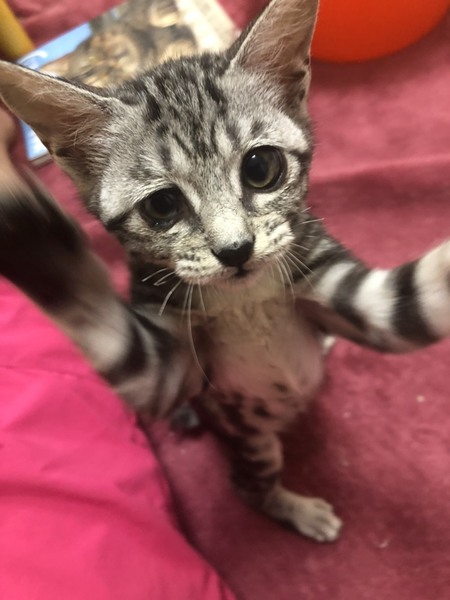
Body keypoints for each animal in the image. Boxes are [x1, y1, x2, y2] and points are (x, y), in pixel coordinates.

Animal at [1, 0, 449, 543]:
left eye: (260, 169)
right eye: (163, 206)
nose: (235, 250)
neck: (245, 301)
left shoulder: (340, 280)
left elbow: (411, 300)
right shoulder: (165, 368)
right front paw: (17, 203)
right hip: (249, 435)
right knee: (248, 488)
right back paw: (299, 508)